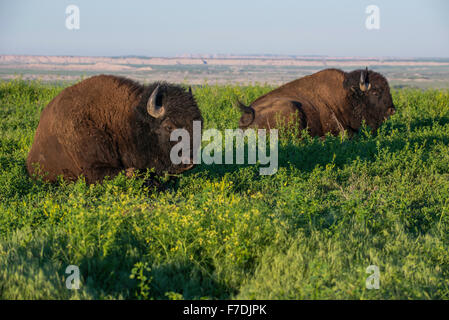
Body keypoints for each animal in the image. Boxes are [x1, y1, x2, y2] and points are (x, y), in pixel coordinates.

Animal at [27, 75, 202, 184]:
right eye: (168, 126)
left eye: (198, 124)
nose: (189, 162)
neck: (130, 122)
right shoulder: (93, 167)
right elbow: (133, 172)